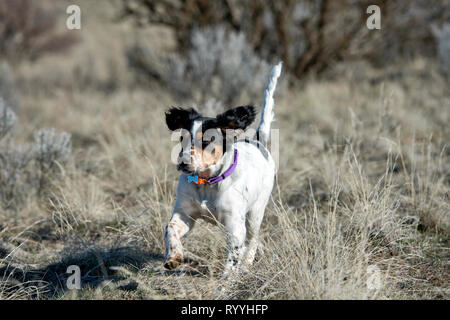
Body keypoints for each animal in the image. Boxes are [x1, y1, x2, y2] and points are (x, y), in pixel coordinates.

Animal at [162, 62, 282, 272]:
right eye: (181, 138)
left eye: (207, 140)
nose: (183, 162)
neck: (206, 183)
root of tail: (259, 142)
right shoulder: (185, 214)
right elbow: (170, 229)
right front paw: (173, 256)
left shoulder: (235, 224)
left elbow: (234, 254)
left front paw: (228, 277)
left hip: (255, 213)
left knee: (253, 240)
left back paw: (246, 266)